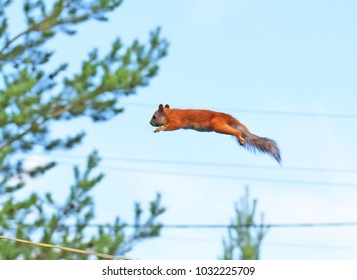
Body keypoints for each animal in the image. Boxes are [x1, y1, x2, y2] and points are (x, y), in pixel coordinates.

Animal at [149, 103, 280, 164]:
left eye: (154, 116)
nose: (150, 123)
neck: (169, 113)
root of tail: (225, 116)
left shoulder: (176, 121)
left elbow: (170, 127)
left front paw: (158, 129)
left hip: (218, 126)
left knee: (236, 132)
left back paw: (239, 137)